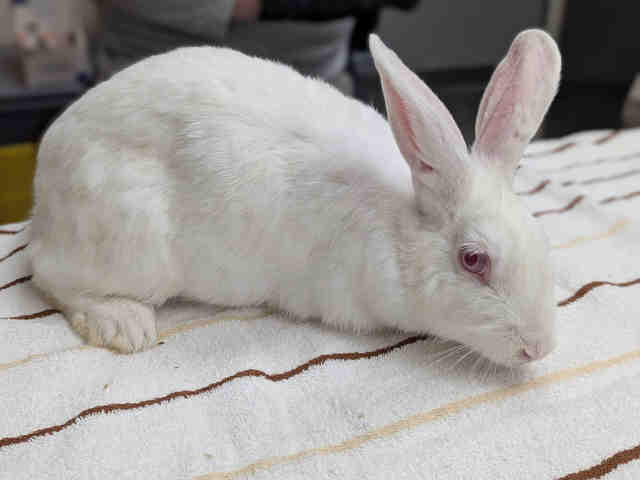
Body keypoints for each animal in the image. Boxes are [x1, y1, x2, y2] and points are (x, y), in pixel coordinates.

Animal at [28, 29, 561, 366]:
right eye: (473, 260)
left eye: (542, 240)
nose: (539, 348)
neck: (397, 224)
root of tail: (45, 185)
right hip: (129, 242)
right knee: (52, 280)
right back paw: (126, 325)